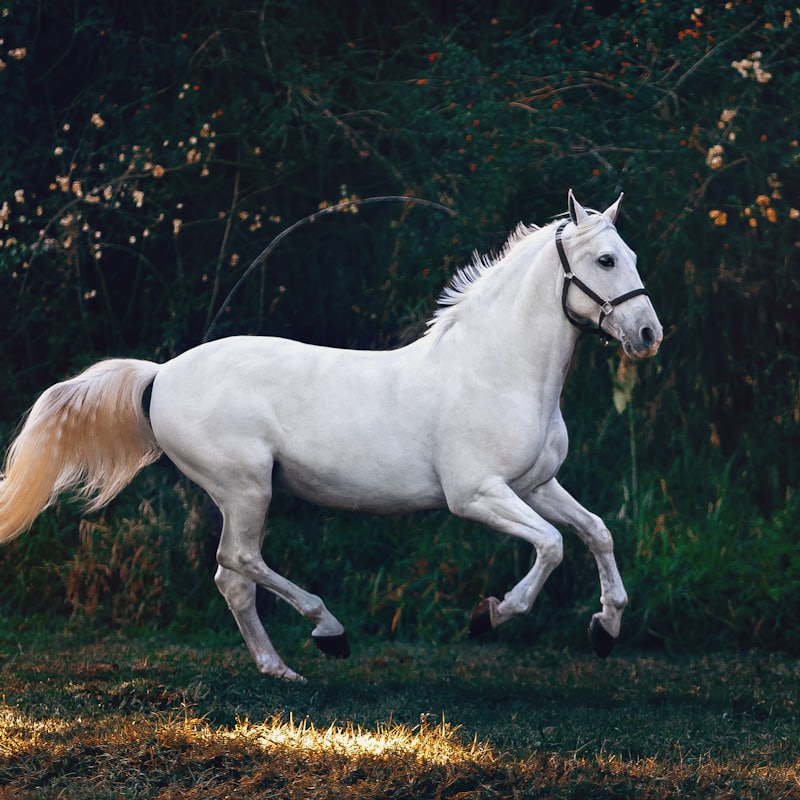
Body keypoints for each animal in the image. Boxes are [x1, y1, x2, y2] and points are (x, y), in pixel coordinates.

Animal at [0, 190, 662, 681]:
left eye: (631, 254)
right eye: (606, 260)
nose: (649, 334)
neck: (496, 370)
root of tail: (161, 374)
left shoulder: (535, 483)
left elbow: (596, 532)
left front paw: (606, 629)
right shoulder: (477, 494)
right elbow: (551, 545)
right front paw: (490, 616)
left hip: (242, 494)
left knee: (232, 580)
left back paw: (280, 668)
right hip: (246, 488)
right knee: (238, 561)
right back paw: (328, 632)